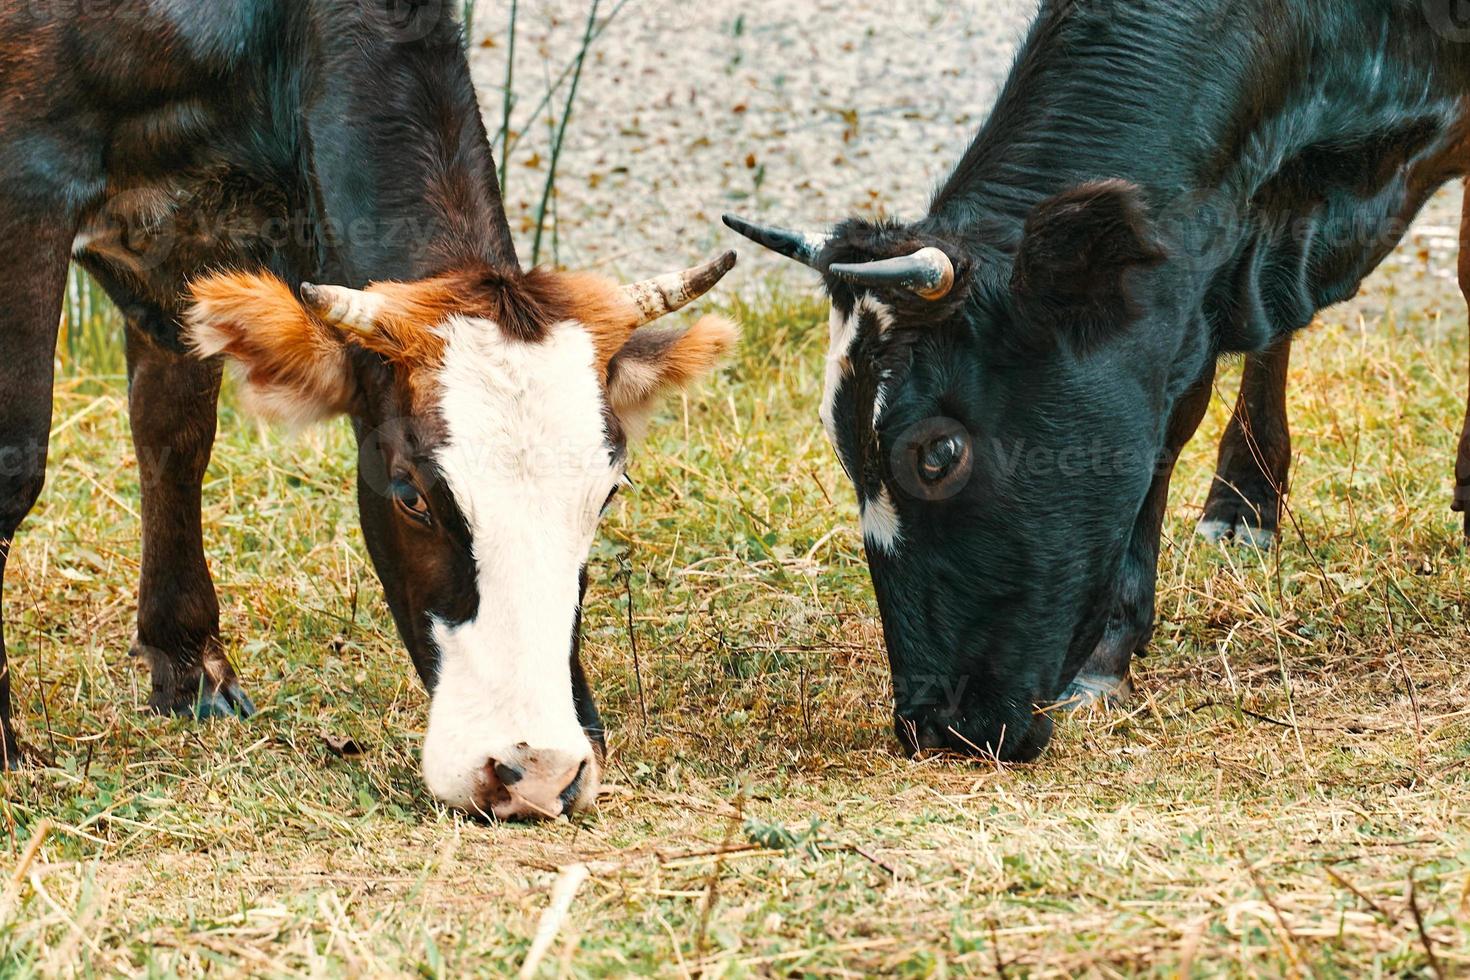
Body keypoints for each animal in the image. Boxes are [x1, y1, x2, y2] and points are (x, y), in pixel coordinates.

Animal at [0, 0, 735, 822]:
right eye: (411, 495)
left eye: (607, 495)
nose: (539, 771)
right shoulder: (26, 183)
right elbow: (14, 464)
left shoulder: (194, 246)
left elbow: (174, 437)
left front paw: (190, 671)